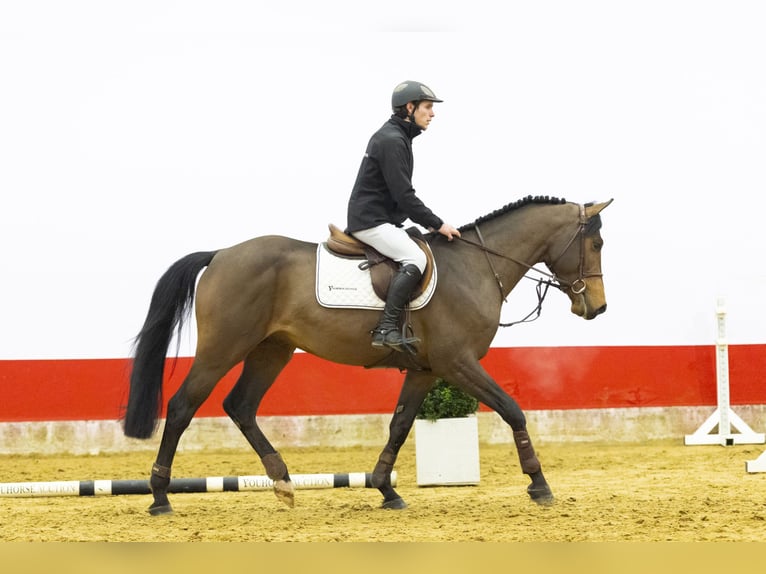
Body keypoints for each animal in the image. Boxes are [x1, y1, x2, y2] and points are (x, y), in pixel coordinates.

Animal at [123, 195, 613, 515]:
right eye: (596, 244)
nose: (597, 308)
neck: (475, 267)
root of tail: (221, 254)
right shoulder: (458, 363)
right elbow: (513, 409)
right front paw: (539, 483)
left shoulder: (427, 369)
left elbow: (399, 424)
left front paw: (386, 490)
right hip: (223, 347)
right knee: (183, 406)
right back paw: (160, 496)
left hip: (272, 349)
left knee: (240, 405)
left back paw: (283, 483)